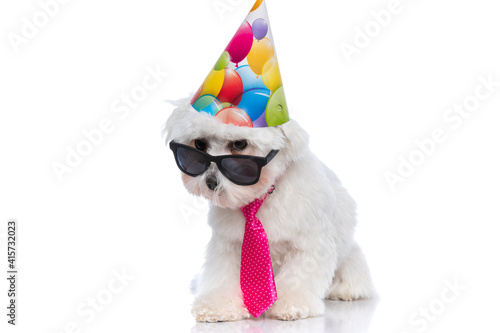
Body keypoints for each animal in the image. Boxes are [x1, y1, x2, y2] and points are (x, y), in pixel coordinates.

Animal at [164, 101, 376, 322]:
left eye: (239, 144)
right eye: (200, 144)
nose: (210, 182)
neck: (261, 196)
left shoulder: (309, 245)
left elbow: (298, 276)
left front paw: (291, 304)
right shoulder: (227, 245)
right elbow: (223, 276)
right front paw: (218, 305)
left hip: (349, 258)